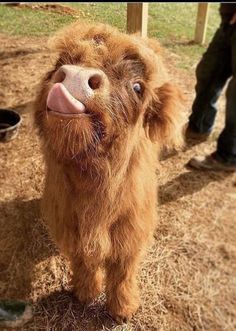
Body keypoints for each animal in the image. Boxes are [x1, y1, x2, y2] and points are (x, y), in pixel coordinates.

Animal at [34, 21, 183, 324]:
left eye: (137, 86)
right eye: (61, 62)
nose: (76, 76)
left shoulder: (130, 235)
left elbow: (123, 273)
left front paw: (123, 310)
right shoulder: (70, 227)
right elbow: (84, 261)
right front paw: (84, 293)